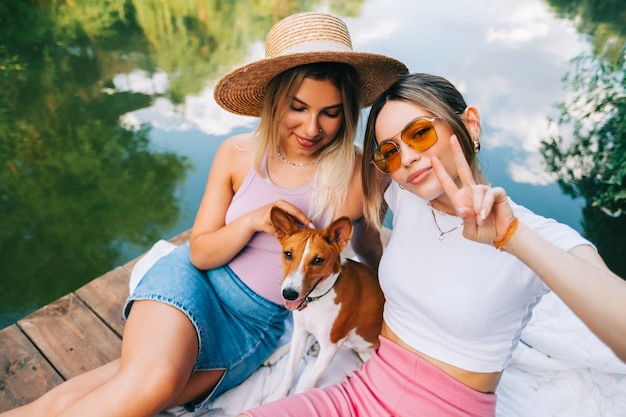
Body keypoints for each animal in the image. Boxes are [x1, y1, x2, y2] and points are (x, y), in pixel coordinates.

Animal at [262, 205, 382, 400]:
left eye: (318, 260)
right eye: (288, 254)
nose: (289, 294)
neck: (317, 300)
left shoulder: (330, 348)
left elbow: (305, 386)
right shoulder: (301, 331)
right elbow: (289, 371)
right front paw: (276, 397)